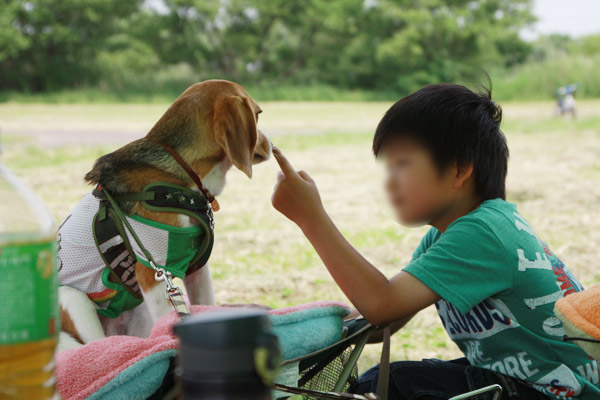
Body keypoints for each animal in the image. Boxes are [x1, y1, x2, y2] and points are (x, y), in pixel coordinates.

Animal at [56, 79, 272, 350]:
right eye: (258, 114)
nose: (272, 145)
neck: (183, 171)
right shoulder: (153, 271)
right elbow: (167, 317)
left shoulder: (197, 269)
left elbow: (205, 305)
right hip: (72, 299)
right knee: (94, 345)